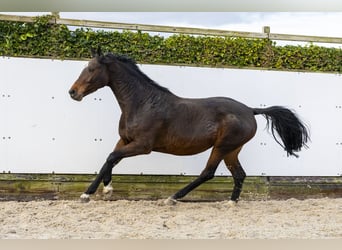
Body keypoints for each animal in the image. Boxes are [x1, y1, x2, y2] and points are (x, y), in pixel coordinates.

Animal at [68, 49, 308, 205]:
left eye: (91, 69)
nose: (73, 92)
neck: (142, 103)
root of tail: (250, 110)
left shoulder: (143, 146)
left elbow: (111, 157)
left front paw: (97, 192)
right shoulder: (125, 140)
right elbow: (109, 160)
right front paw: (98, 191)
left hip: (222, 146)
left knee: (208, 173)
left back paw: (173, 198)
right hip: (232, 149)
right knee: (239, 174)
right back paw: (231, 202)